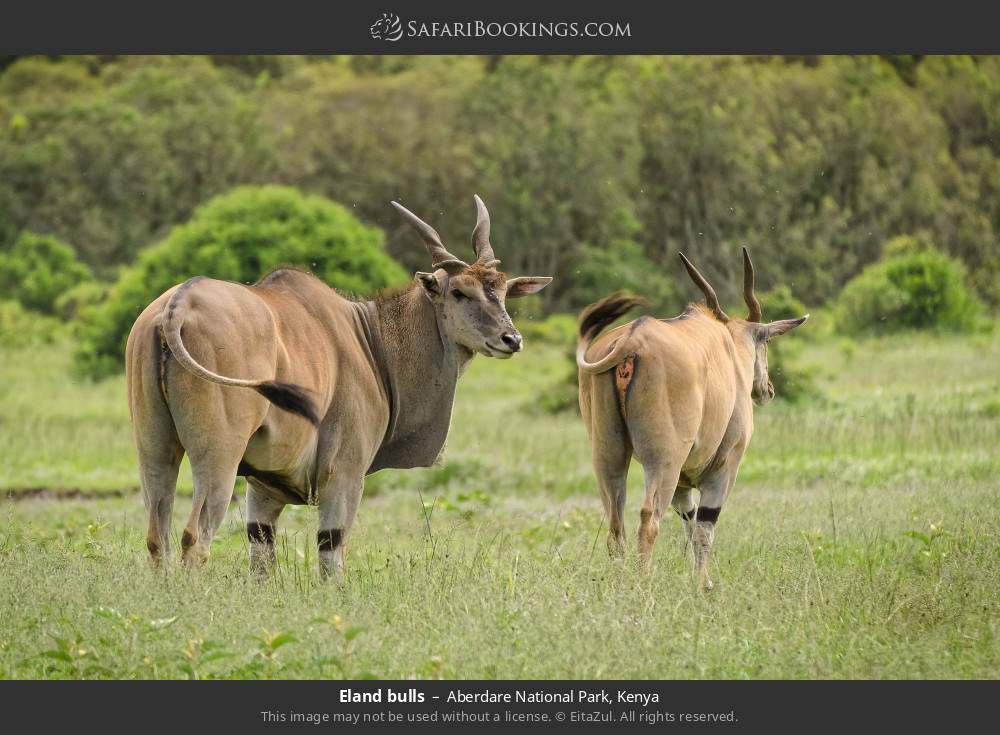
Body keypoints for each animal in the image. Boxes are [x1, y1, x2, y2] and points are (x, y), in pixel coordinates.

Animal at [125, 196, 551, 579]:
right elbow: (331, 555)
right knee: (194, 537)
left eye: (502, 289)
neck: (371, 340)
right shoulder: (344, 475)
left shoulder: (263, 488)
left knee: (156, 536)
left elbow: (261, 559)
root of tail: (177, 308)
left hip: (155, 449)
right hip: (218, 457)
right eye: (460, 292)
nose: (511, 339)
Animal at [575, 249, 807, 589]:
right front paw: (702, 584)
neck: (727, 349)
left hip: (609, 456)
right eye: (765, 342)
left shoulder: (683, 485)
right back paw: (644, 585)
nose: (768, 389)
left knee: (615, 528)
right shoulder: (723, 470)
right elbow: (703, 529)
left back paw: (619, 585)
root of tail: (632, 340)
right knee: (648, 520)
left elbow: (689, 521)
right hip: (663, 462)